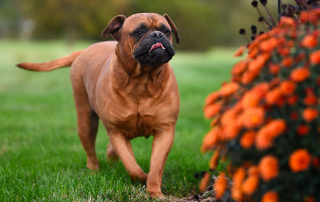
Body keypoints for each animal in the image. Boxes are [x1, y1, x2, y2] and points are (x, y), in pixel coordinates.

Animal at [16, 13, 180, 197]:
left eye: (166, 31)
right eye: (139, 31)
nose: (158, 35)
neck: (142, 81)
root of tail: (83, 51)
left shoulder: (164, 131)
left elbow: (156, 166)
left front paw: (155, 192)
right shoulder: (116, 131)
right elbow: (131, 165)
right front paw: (142, 177)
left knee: (110, 149)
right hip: (86, 121)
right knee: (91, 150)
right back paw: (94, 170)